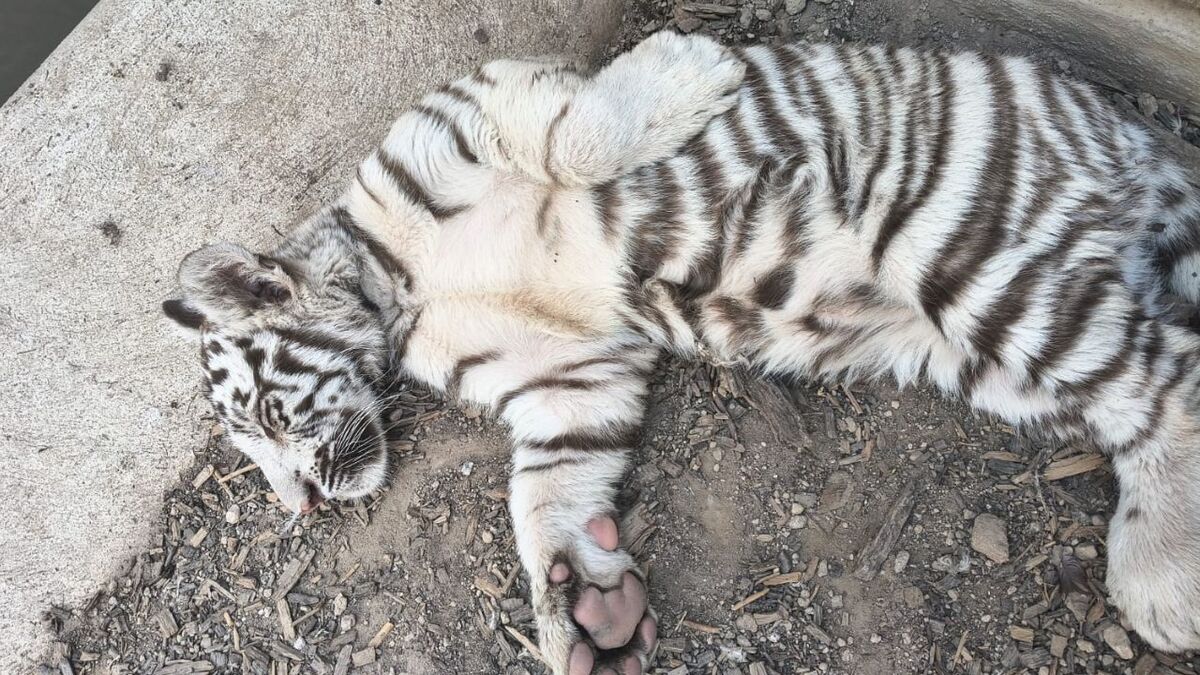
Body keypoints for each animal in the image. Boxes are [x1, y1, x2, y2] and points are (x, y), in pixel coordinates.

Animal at [162, 30, 1200, 674]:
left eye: (263, 417)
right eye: (251, 444)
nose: (298, 503)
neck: (398, 291)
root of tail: (1126, 129)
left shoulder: (488, 107)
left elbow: (578, 140)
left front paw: (687, 66)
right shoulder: (571, 377)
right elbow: (545, 491)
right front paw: (584, 611)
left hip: (964, 254)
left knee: (1169, 385)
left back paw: (1159, 581)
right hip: (982, 352)